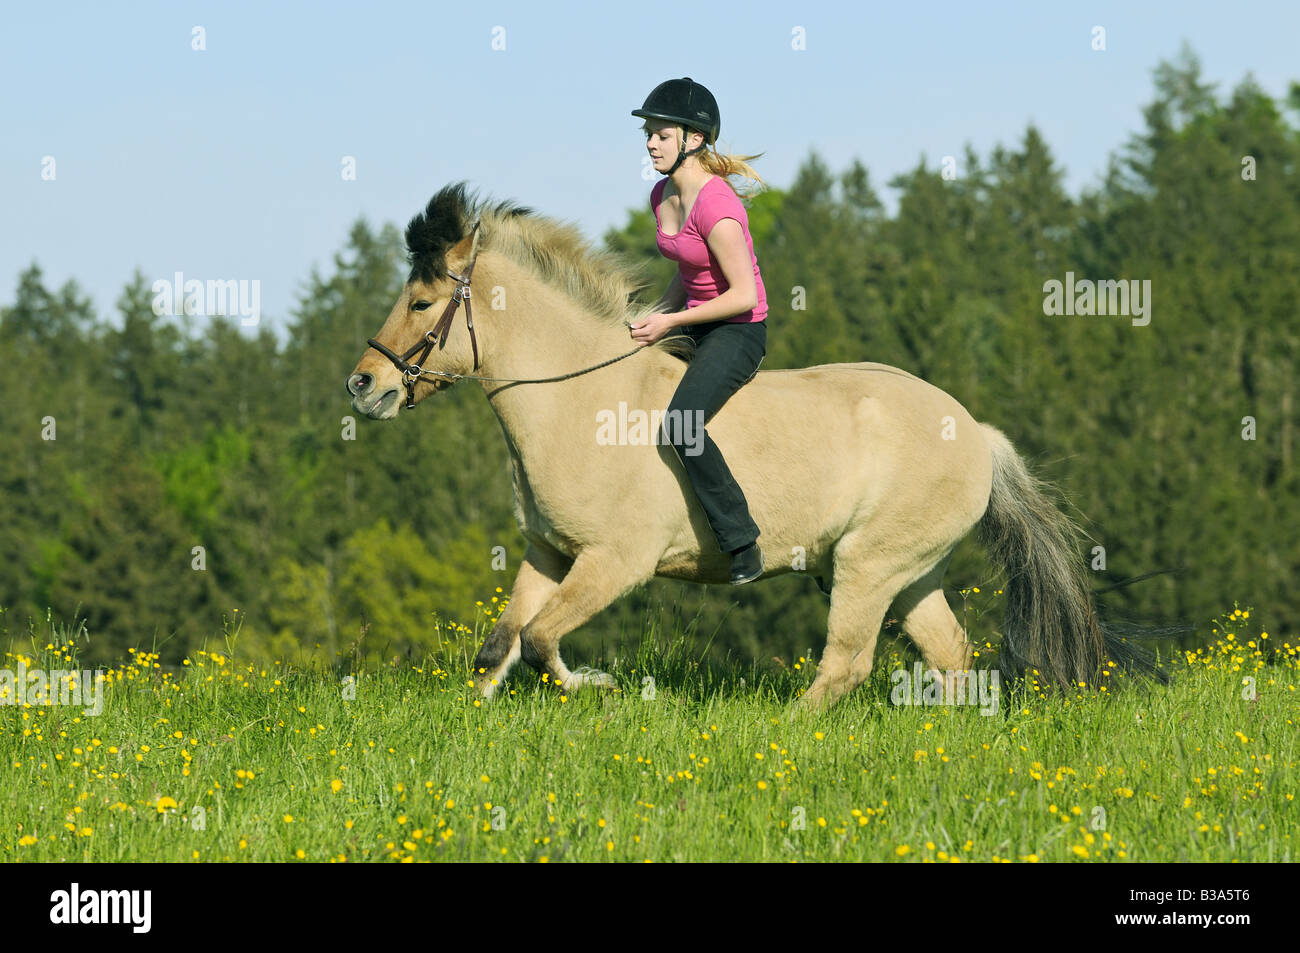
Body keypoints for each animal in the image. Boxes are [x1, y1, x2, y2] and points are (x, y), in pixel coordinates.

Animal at [348, 182, 1149, 712]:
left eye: (421, 302)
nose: (363, 385)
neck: (578, 401)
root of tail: (976, 433)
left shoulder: (616, 560)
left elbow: (544, 642)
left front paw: (601, 686)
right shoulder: (549, 553)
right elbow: (501, 645)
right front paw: (472, 721)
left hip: (868, 565)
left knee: (846, 663)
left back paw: (790, 733)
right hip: (910, 572)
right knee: (950, 653)